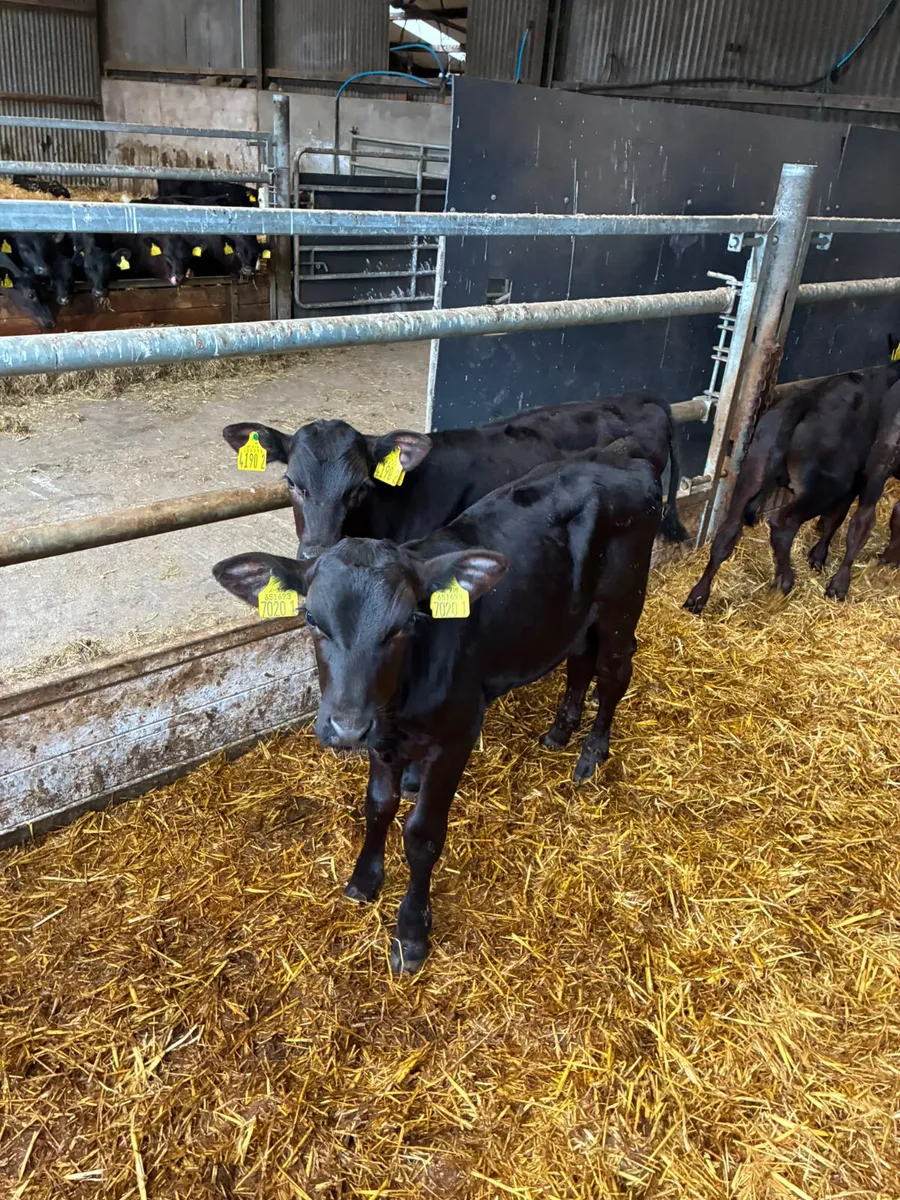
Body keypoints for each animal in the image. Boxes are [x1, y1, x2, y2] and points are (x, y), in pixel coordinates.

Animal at [213, 448, 661, 973]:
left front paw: (410, 932)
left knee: (613, 672)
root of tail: (625, 458)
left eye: (406, 622)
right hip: (575, 615)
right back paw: (560, 731)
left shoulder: (456, 737)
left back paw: (591, 754)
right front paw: (365, 879)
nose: (345, 728)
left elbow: (422, 835)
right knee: (580, 660)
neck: (399, 707)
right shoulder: (382, 738)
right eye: (311, 620)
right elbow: (377, 806)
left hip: (623, 605)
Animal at [684, 362, 900, 613]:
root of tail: (803, 402)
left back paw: (698, 596)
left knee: (727, 532)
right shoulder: (858, 482)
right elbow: (840, 520)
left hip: (753, 472)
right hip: (827, 487)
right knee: (783, 524)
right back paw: (787, 580)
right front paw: (825, 564)